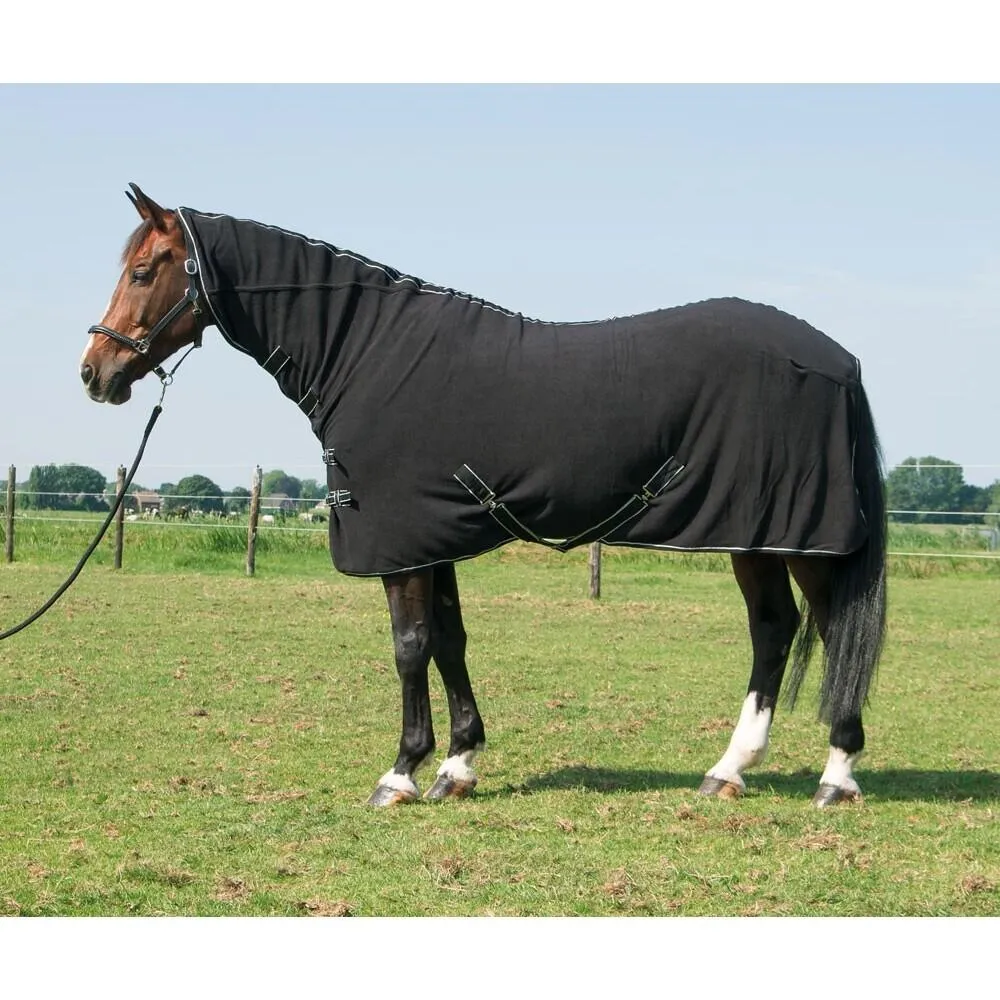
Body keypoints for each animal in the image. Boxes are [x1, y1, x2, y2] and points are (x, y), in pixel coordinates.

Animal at [80, 184, 887, 808]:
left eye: (145, 269)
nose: (95, 371)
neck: (368, 354)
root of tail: (837, 359)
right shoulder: (431, 535)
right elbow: (449, 640)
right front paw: (458, 765)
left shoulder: (401, 543)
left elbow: (409, 647)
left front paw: (401, 774)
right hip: (757, 536)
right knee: (775, 630)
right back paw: (728, 771)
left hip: (795, 535)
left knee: (824, 626)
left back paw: (836, 777)